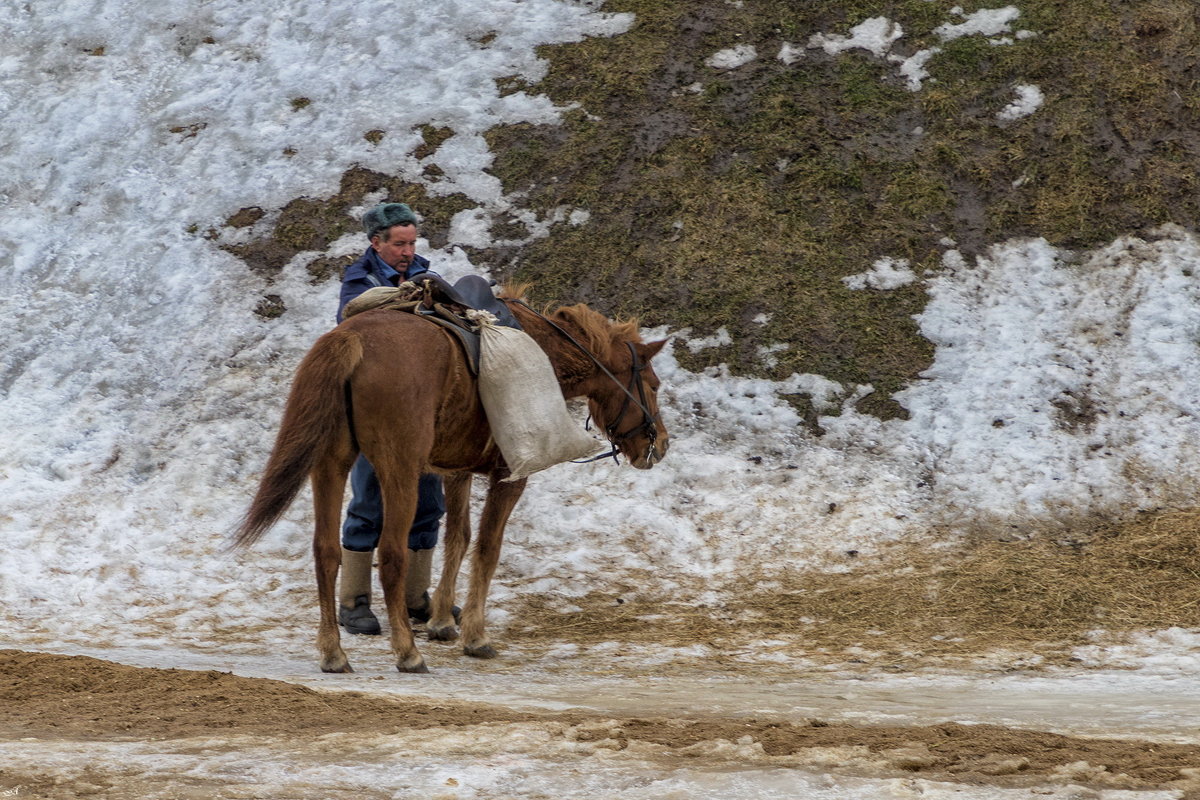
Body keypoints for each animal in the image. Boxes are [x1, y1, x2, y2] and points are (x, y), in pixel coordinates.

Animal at [229, 291, 672, 671]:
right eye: (653, 385)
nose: (661, 443)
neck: (545, 351)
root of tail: (350, 337)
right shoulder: (509, 477)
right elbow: (487, 548)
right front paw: (475, 635)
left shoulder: (456, 473)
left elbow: (457, 537)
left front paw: (442, 621)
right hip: (399, 469)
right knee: (391, 553)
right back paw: (406, 652)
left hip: (331, 464)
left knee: (326, 551)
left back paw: (333, 653)